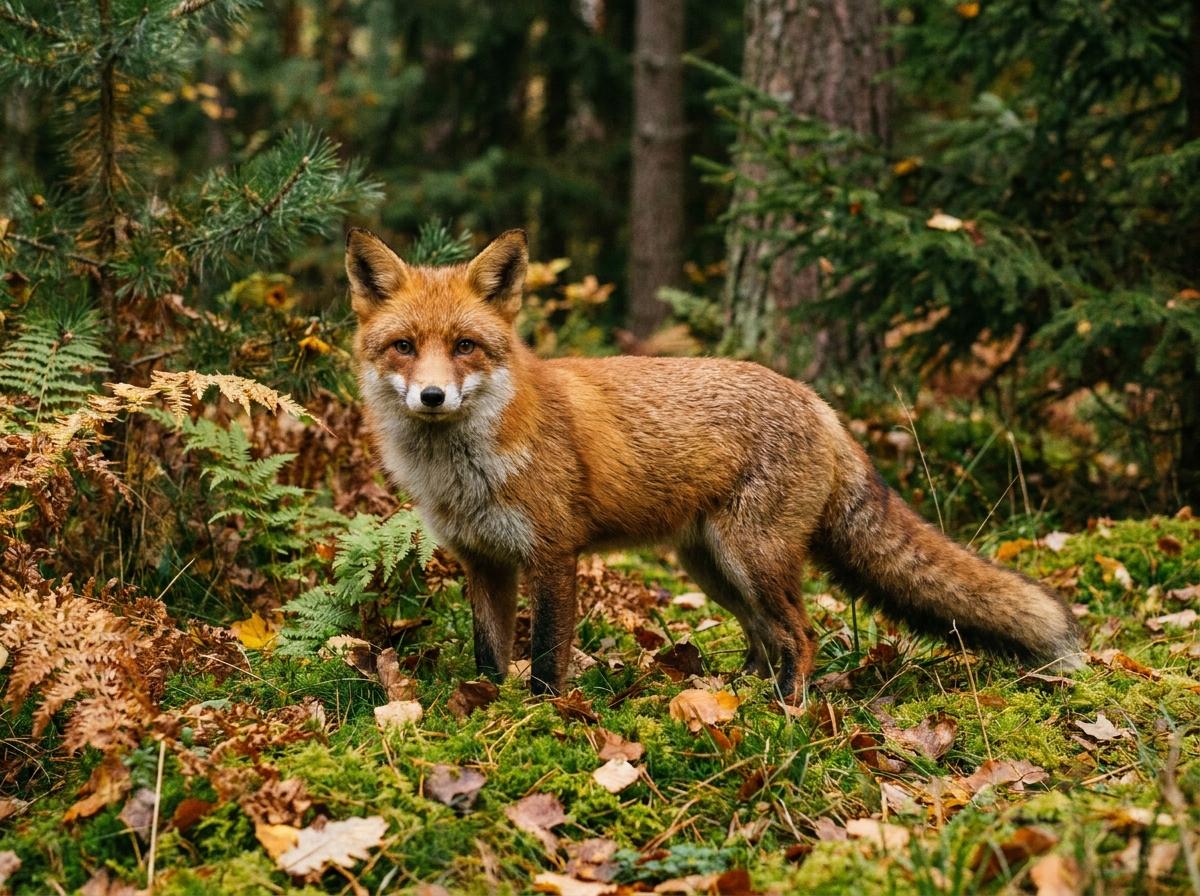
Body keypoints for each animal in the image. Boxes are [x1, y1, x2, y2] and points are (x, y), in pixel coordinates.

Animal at [347, 227, 1084, 696]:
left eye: (465, 346)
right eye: (404, 346)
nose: (433, 396)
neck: (465, 471)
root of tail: (817, 401)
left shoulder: (553, 556)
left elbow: (548, 661)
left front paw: (542, 721)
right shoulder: (484, 561)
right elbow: (489, 657)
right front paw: (483, 713)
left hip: (751, 558)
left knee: (802, 636)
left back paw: (784, 711)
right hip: (713, 567)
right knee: (766, 638)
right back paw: (736, 698)